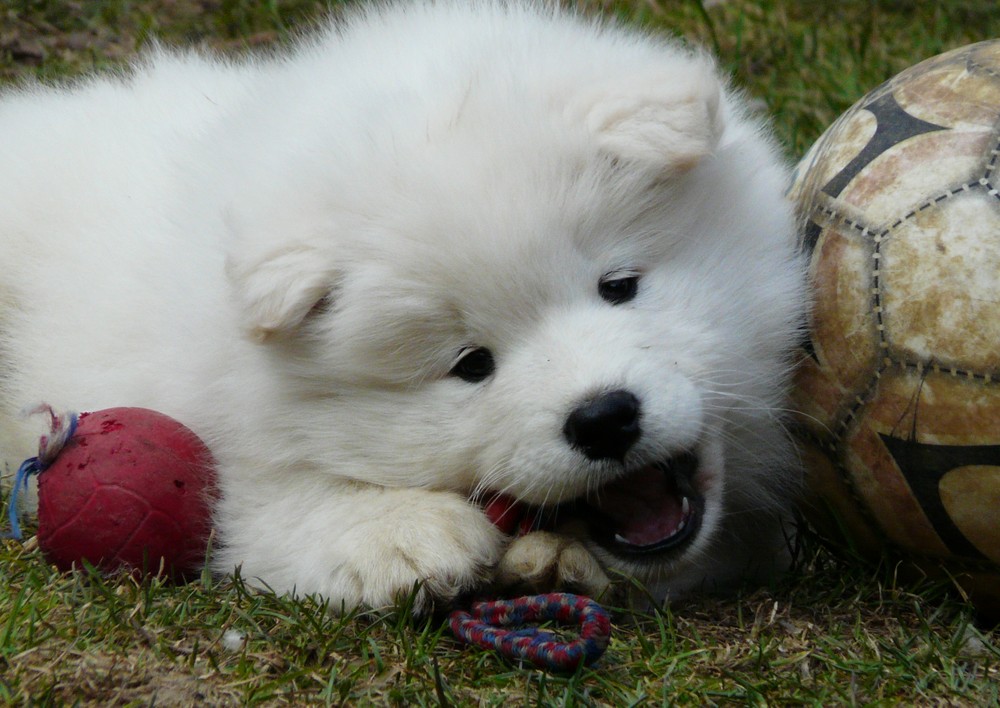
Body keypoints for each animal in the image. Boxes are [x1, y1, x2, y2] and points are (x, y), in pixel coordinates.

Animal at [0, 0, 804, 612]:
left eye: (619, 286)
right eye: (472, 364)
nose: (604, 418)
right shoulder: (225, 446)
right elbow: (264, 501)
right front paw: (406, 534)